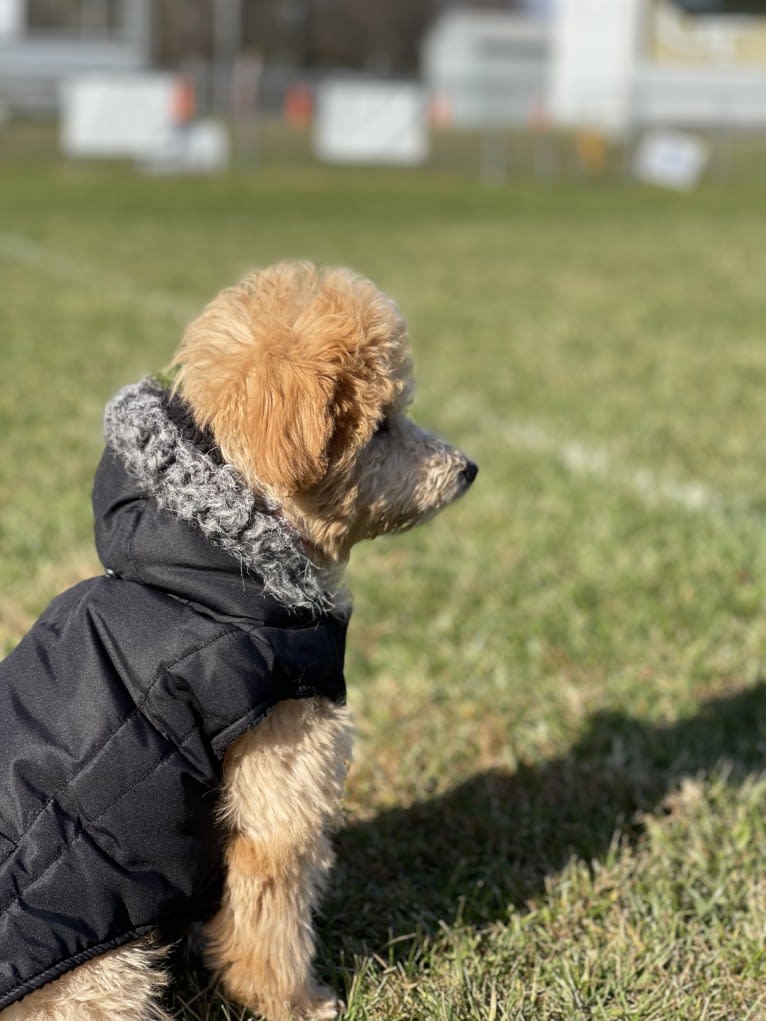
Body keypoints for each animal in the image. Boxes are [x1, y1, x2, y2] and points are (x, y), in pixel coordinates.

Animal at [1, 265, 480, 1021]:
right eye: (381, 425)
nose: (468, 468)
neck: (214, 564)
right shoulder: (282, 774)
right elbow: (270, 917)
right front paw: (298, 1002)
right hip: (106, 973)